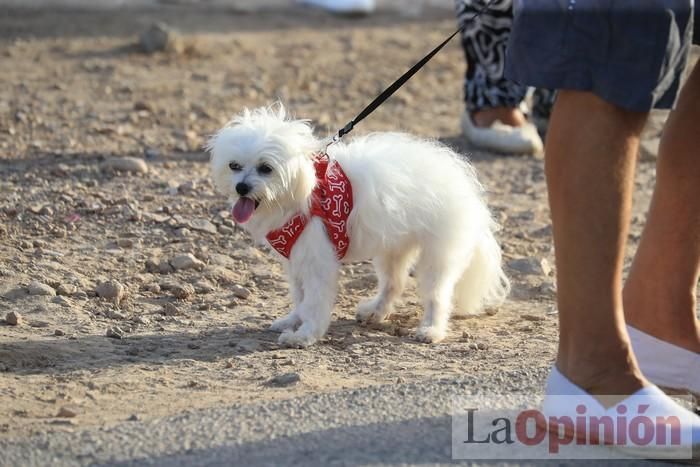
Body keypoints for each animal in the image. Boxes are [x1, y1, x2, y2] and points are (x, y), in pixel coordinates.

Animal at [208, 105, 508, 348]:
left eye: (266, 168)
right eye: (234, 166)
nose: (241, 187)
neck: (300, 192)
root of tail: (465, 183)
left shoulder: (317, 261)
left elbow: (313, 302)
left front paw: (304, 335)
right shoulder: (296, 261)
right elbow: (300, 298)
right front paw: (292, 320)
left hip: (438, 254)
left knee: (437, 294)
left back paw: (431, 330)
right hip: (392, 249)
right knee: (394, 283)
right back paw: (375, 311)